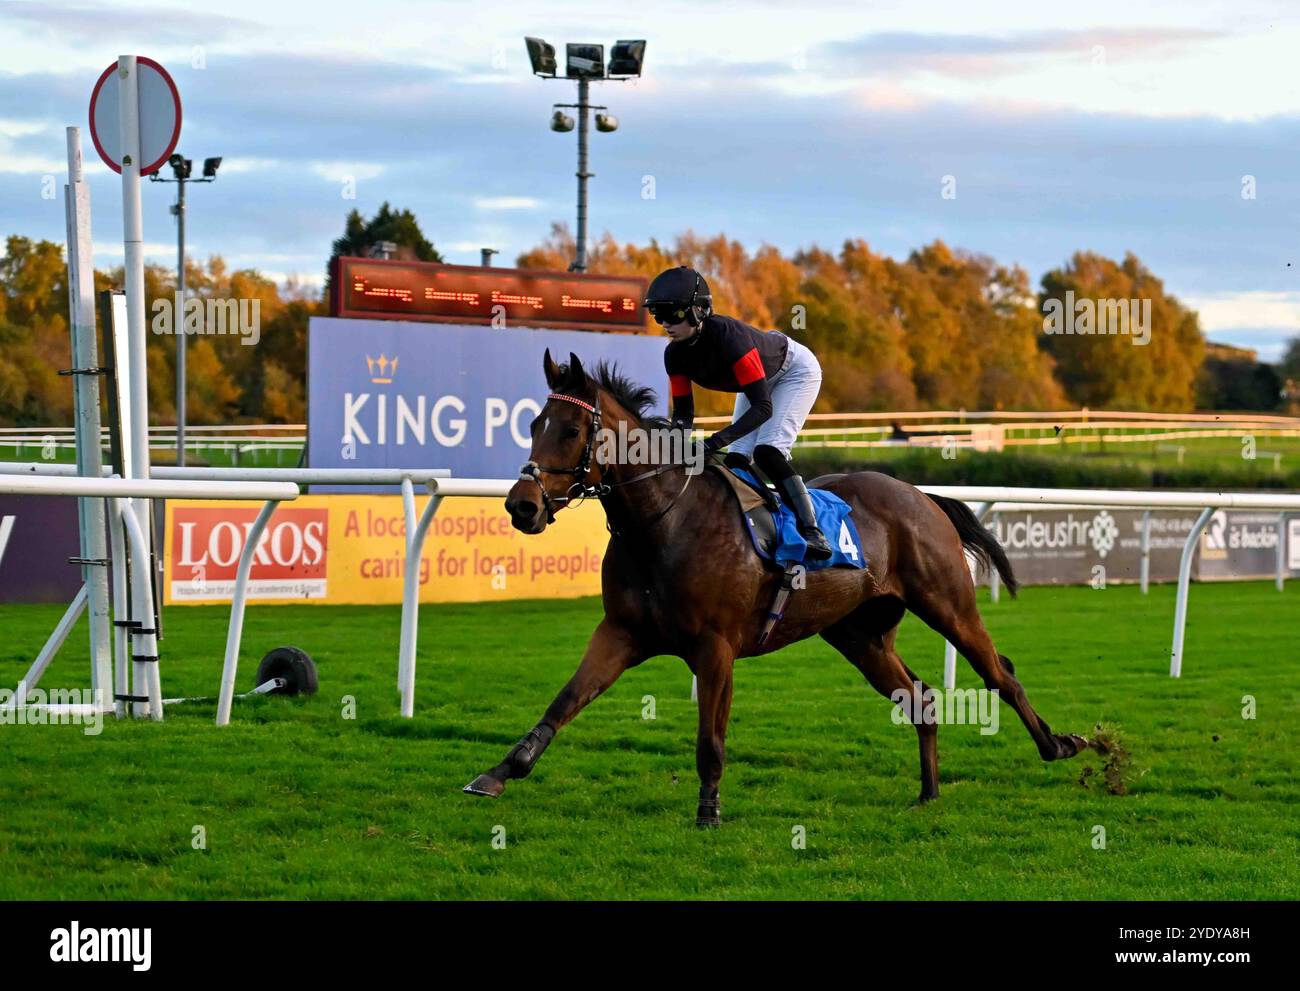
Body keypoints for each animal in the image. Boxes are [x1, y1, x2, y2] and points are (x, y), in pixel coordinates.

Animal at [462, 351, 1092, 821]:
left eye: (571, 429)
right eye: (533, 426)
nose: (521, 505)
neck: (663, 520)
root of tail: (921, 494)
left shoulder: (715, 647)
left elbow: (710, 742)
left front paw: (708, 812)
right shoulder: (621, 632)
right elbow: (565, 701)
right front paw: (498, 772)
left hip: (948, 604)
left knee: (1000, 673)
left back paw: (1059, 745)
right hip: (859, 635)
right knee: (920, 697)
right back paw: (929, 792)